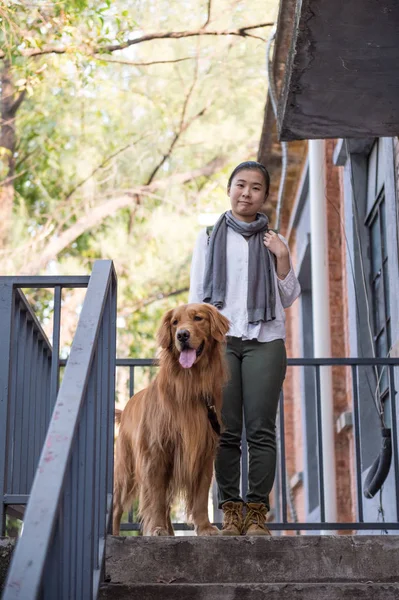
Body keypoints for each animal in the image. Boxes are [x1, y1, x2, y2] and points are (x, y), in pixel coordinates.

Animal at [114, 302, 230, 536]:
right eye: (175, 322)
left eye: (198, 318)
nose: (182, 335)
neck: (189, 385)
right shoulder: (155, 454)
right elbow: (155, 499)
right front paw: (157, 528)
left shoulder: (204, 453)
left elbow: (200, 497)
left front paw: (205, 527)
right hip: (126, 471)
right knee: (115, 508)